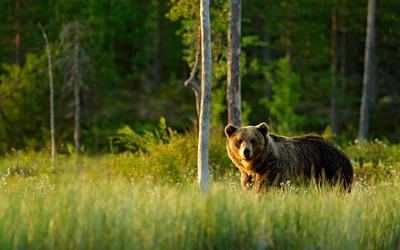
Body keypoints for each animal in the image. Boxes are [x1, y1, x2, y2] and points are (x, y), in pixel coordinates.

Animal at [225, 122, 354, 191]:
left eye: (253, 140)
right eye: (239, 140)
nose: (246, 151)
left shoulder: (275, 171)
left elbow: (269, 187)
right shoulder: (248, 176)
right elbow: (250, 187)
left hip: (331, 168)